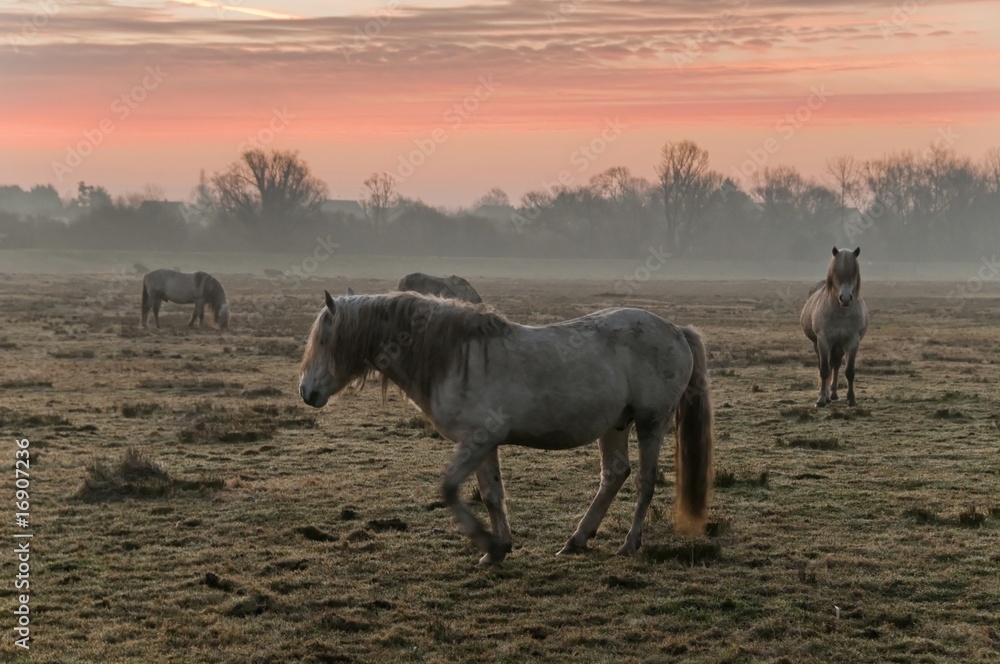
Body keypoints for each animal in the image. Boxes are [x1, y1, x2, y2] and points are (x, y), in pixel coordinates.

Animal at [299, 290, 714, 565]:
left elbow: (450, 489)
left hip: (651, 422)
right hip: (615, 425)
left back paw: (628, 544)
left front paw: (490, 545)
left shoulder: (477, 442)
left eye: (325, 339)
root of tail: (676, 330)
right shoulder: (484, 445)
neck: (456, 357)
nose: (306, 391)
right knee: (614, 474)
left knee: (644, 481)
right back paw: (576, 540)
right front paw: (499, 549)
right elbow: (491, 495)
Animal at [800, 247, 869, 407]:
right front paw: (821, 400)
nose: (845, 299)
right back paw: (826, 395)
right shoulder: (823, 341)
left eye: (853, 274)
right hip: (818, 344)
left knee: (836, 365)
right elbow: (824, 370)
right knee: (824, 365)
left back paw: (833, 394)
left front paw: (851, 399)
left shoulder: (852, 341)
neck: (841, 312)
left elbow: (849, 371)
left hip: (839, 346)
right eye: (837, 274)